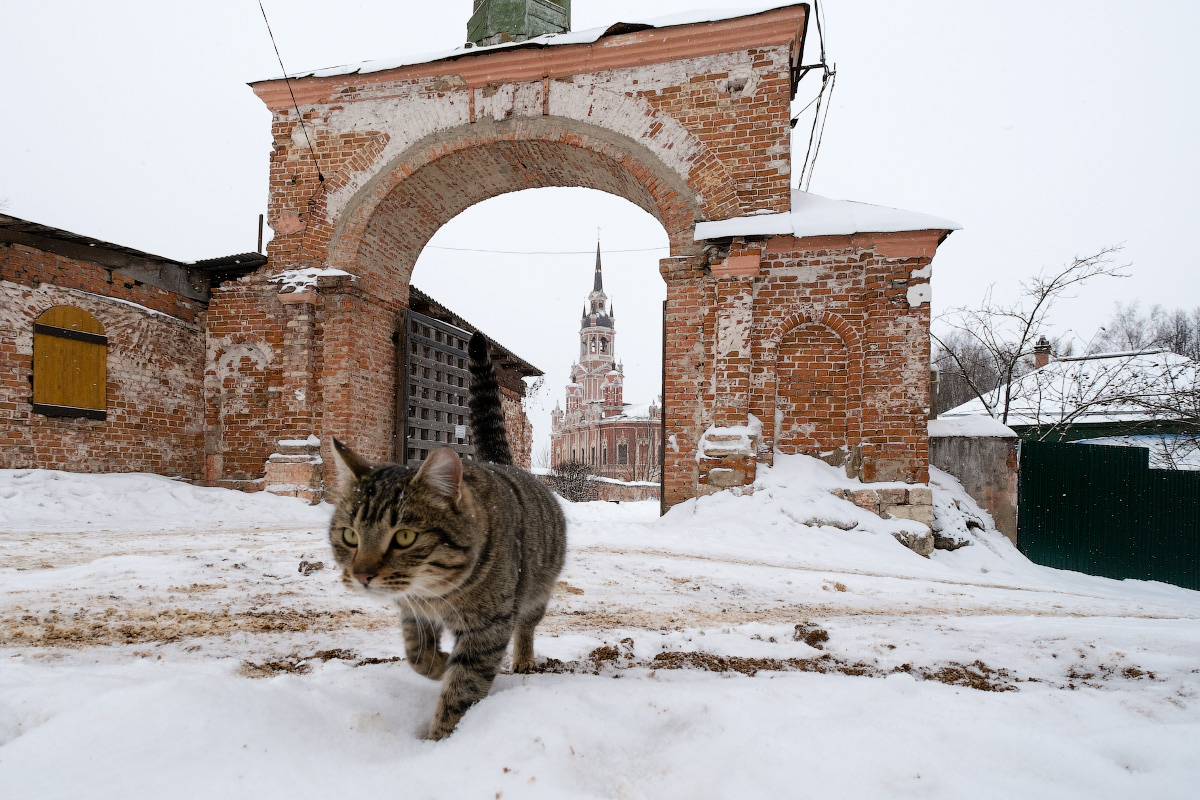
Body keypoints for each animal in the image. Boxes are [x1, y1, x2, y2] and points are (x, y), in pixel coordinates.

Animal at [328, 331, 566, 738]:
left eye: (404, 538)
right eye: (350, 536)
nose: (361, 575)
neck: (436, 594)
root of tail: (501, 463)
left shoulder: (488, 628)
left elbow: (461, 689)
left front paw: (440, 740)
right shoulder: (412, 610)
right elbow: (416, 653)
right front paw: (438, 663)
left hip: (537, 592)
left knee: (527, 626)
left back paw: (523, 658)